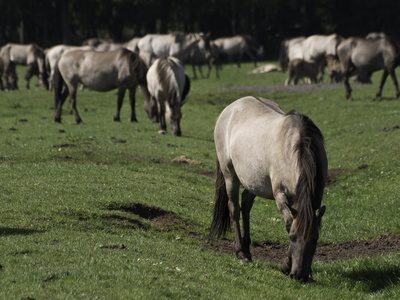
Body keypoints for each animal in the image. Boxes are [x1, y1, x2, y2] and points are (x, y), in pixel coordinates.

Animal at [209, 97, 328, 282]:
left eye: (315, 240)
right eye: (292, 238)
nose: (299, 276)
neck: (297, 147)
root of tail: (230, 108)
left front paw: (309, 272)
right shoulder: (280, 195)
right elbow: (289, 223)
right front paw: (286, 265)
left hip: (253, 181)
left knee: (246, 204)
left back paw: (247, 249)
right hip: (230, 176)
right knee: (234, 209)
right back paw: (240, 252)